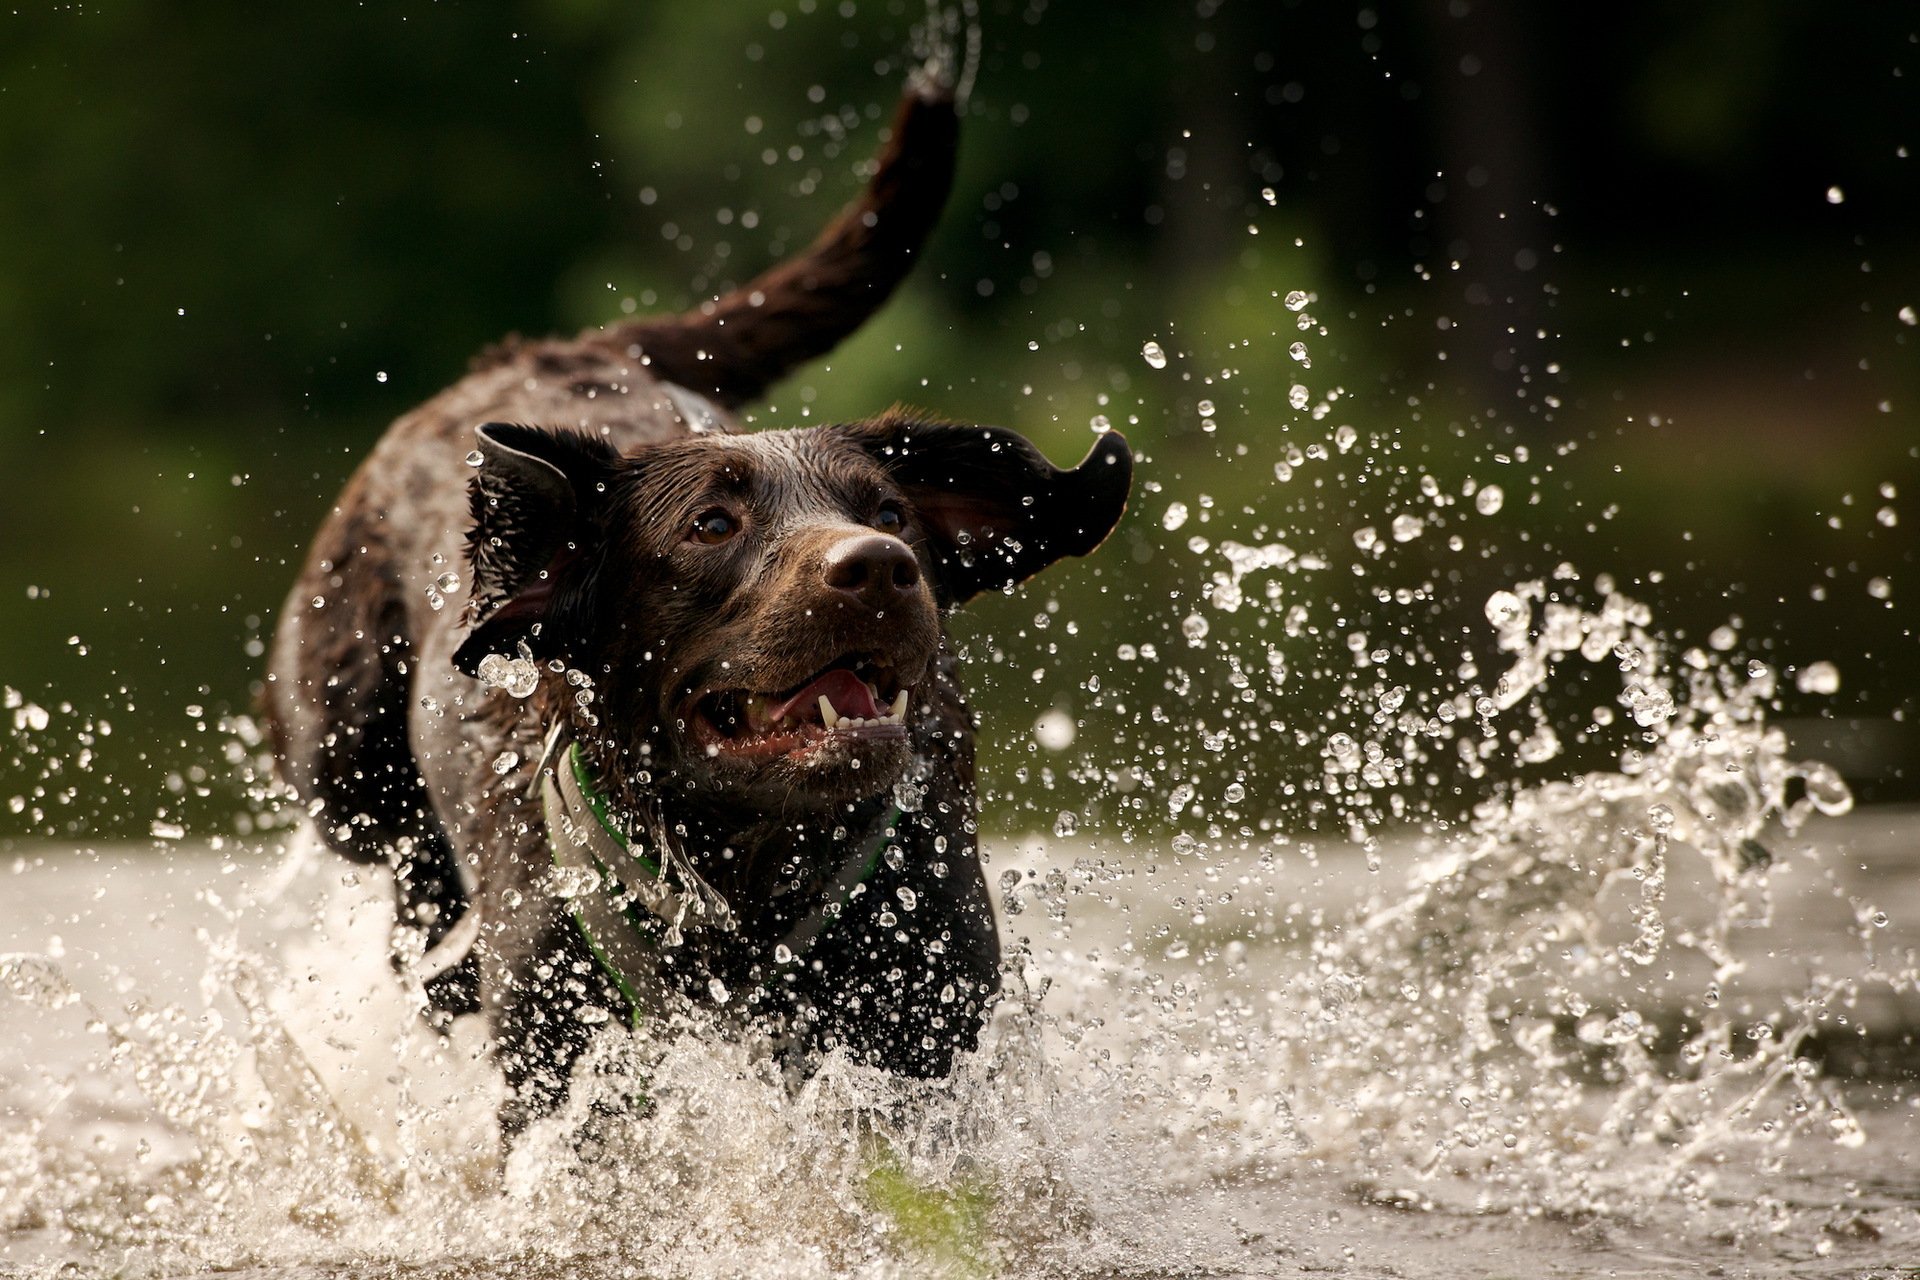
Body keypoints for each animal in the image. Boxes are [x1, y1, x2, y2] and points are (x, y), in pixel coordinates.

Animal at [264, 70, 1128, 1128]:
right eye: (711, 525)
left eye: (891, 512)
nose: (879, 566)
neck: (746, 878)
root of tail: (543, 348)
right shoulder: (555, 1063)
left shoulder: (925, 1023)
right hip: (340, 759)